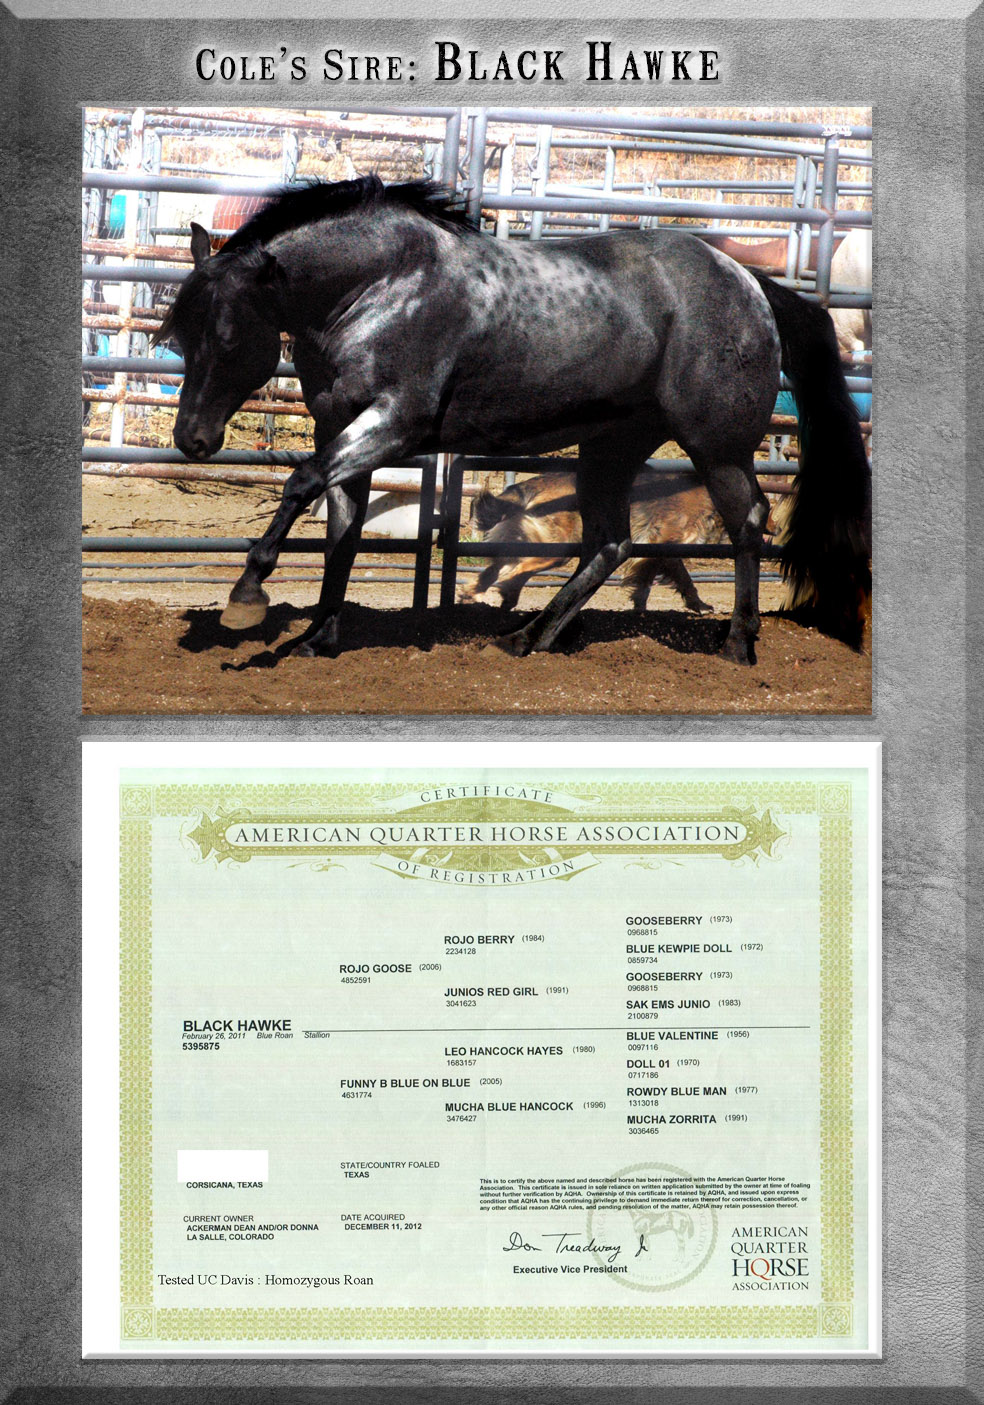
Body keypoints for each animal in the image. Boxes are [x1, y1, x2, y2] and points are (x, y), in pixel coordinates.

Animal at [460, 468, 728, 614]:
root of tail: (530, 484)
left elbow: (657, 579)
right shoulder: (663, 541)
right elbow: (678, 578)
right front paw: (698, 605)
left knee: (497, 570)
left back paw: (477, 594)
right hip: (556, 549)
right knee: (514, 572)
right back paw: (503, 592)